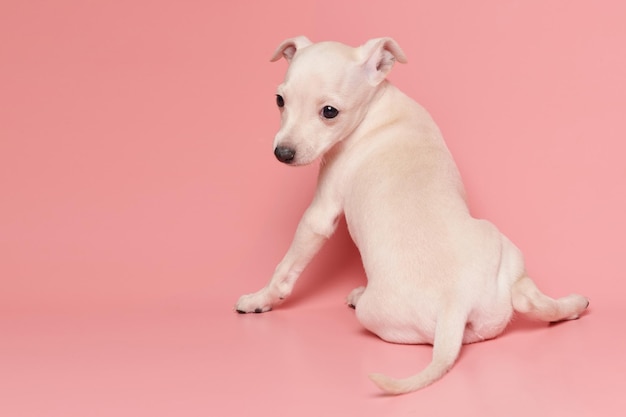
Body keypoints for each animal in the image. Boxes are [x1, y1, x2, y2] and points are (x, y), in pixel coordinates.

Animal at [233, 35, 584, 394]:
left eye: (329, 112)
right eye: (280, 101)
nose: (283, 153)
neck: (377, 104)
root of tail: (453, 303)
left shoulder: (320, 213)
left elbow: (285, 268)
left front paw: (261, 299)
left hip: (375, 316)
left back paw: (358, 295)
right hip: (505, 255)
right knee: (530, 301)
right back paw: (574, 305)